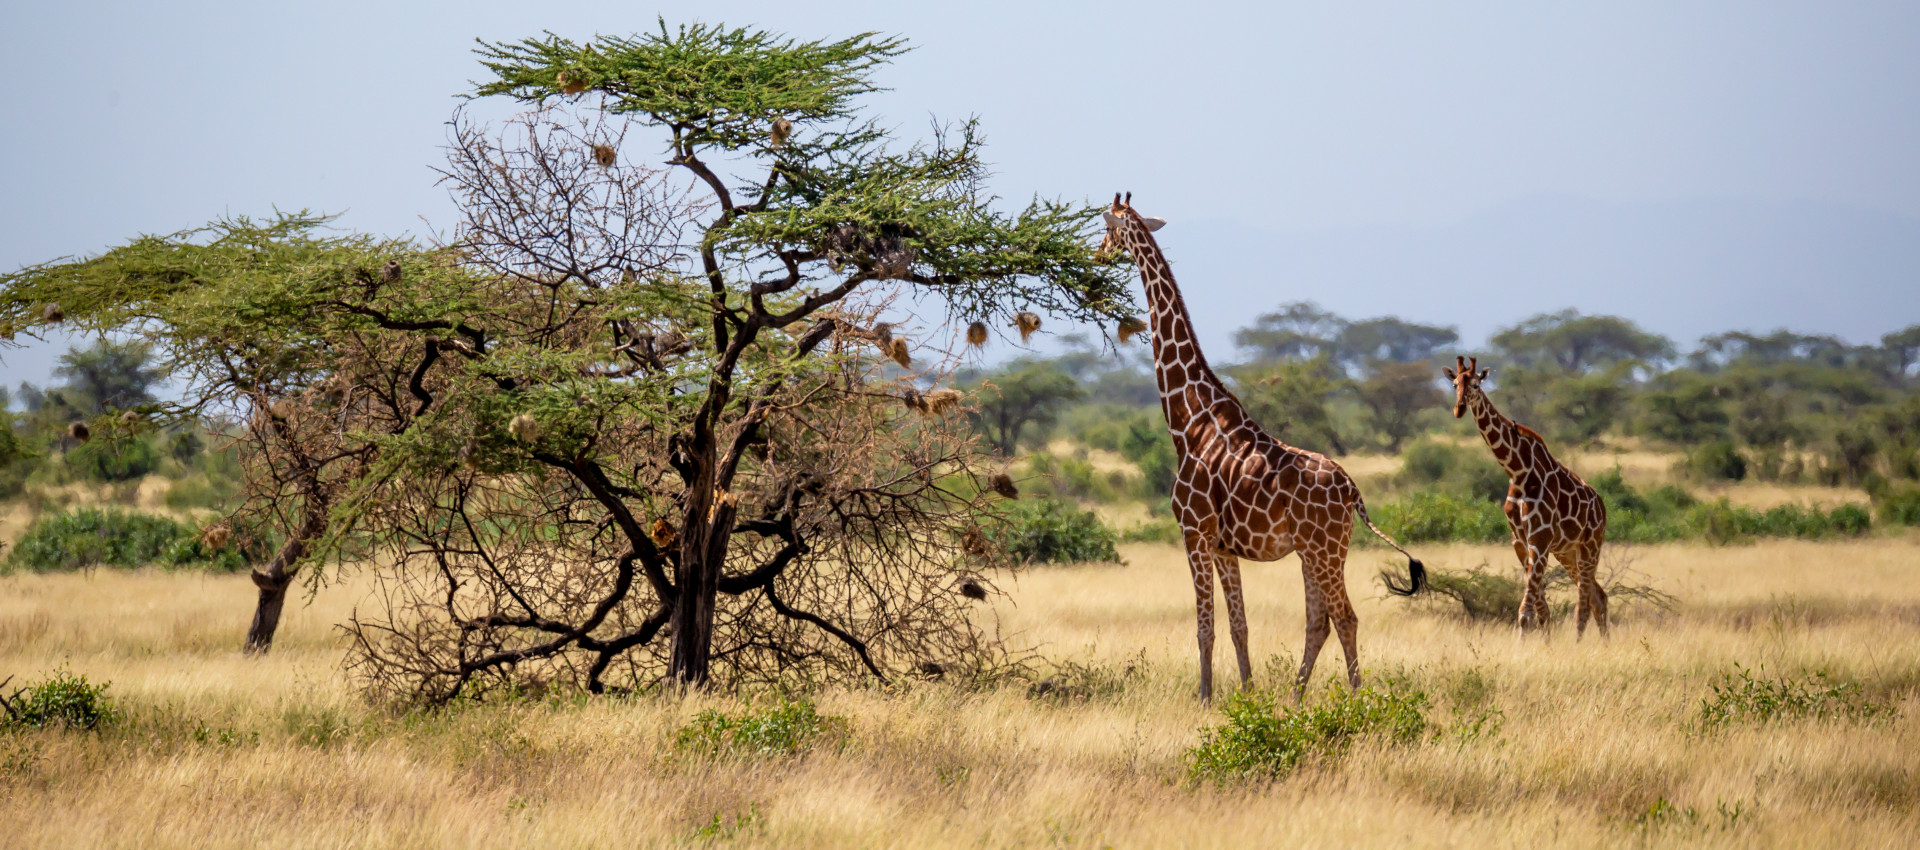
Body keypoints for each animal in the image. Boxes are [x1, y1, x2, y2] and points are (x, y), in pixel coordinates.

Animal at [1098, 194, 1428, 698]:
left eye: (1107, 228)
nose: (1096, 255)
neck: (1189, 421)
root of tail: (1353, 491)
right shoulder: (1223, 546)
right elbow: (1239, 626)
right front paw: (1247, 694)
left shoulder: (1193, 533)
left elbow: (1205, 626)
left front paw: (1205, 698)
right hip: (1317, 551)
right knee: (1320, 621)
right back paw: (1294, 697)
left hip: (1323, 550)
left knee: (1345, 617)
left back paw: (1355, 698)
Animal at [1443, 354, 1612, 637]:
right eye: (1455, 384)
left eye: (1476, 385)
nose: (1460, 408)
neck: (1518, 471)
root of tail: (1601, 506)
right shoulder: (1520, 541)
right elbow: (1541, 610)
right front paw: (1544, 642)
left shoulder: (1539, 539)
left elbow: (1526, 611)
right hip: (1567, 552)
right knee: (1598, 597)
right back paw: (1602, 644)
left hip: (1591, 546)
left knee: (1584, 605)